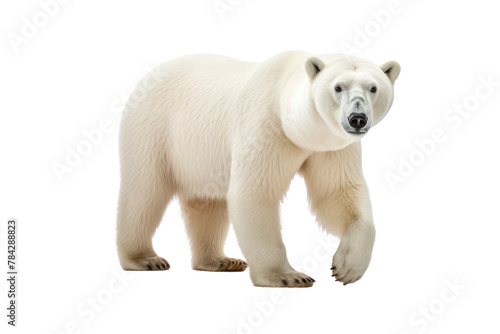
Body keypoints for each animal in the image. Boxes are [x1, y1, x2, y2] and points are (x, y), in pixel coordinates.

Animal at [116, 51, 398, 288]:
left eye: (373, 87)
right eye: (338, 87)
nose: (357, 119)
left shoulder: (330, 146)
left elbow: (337, 193)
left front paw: (347, 267)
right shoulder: (265, 126)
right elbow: (255, 193)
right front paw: (288, 276)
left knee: (207, 202)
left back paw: (220, 260)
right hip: (153, 128)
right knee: (145, 191)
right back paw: (145, 259)